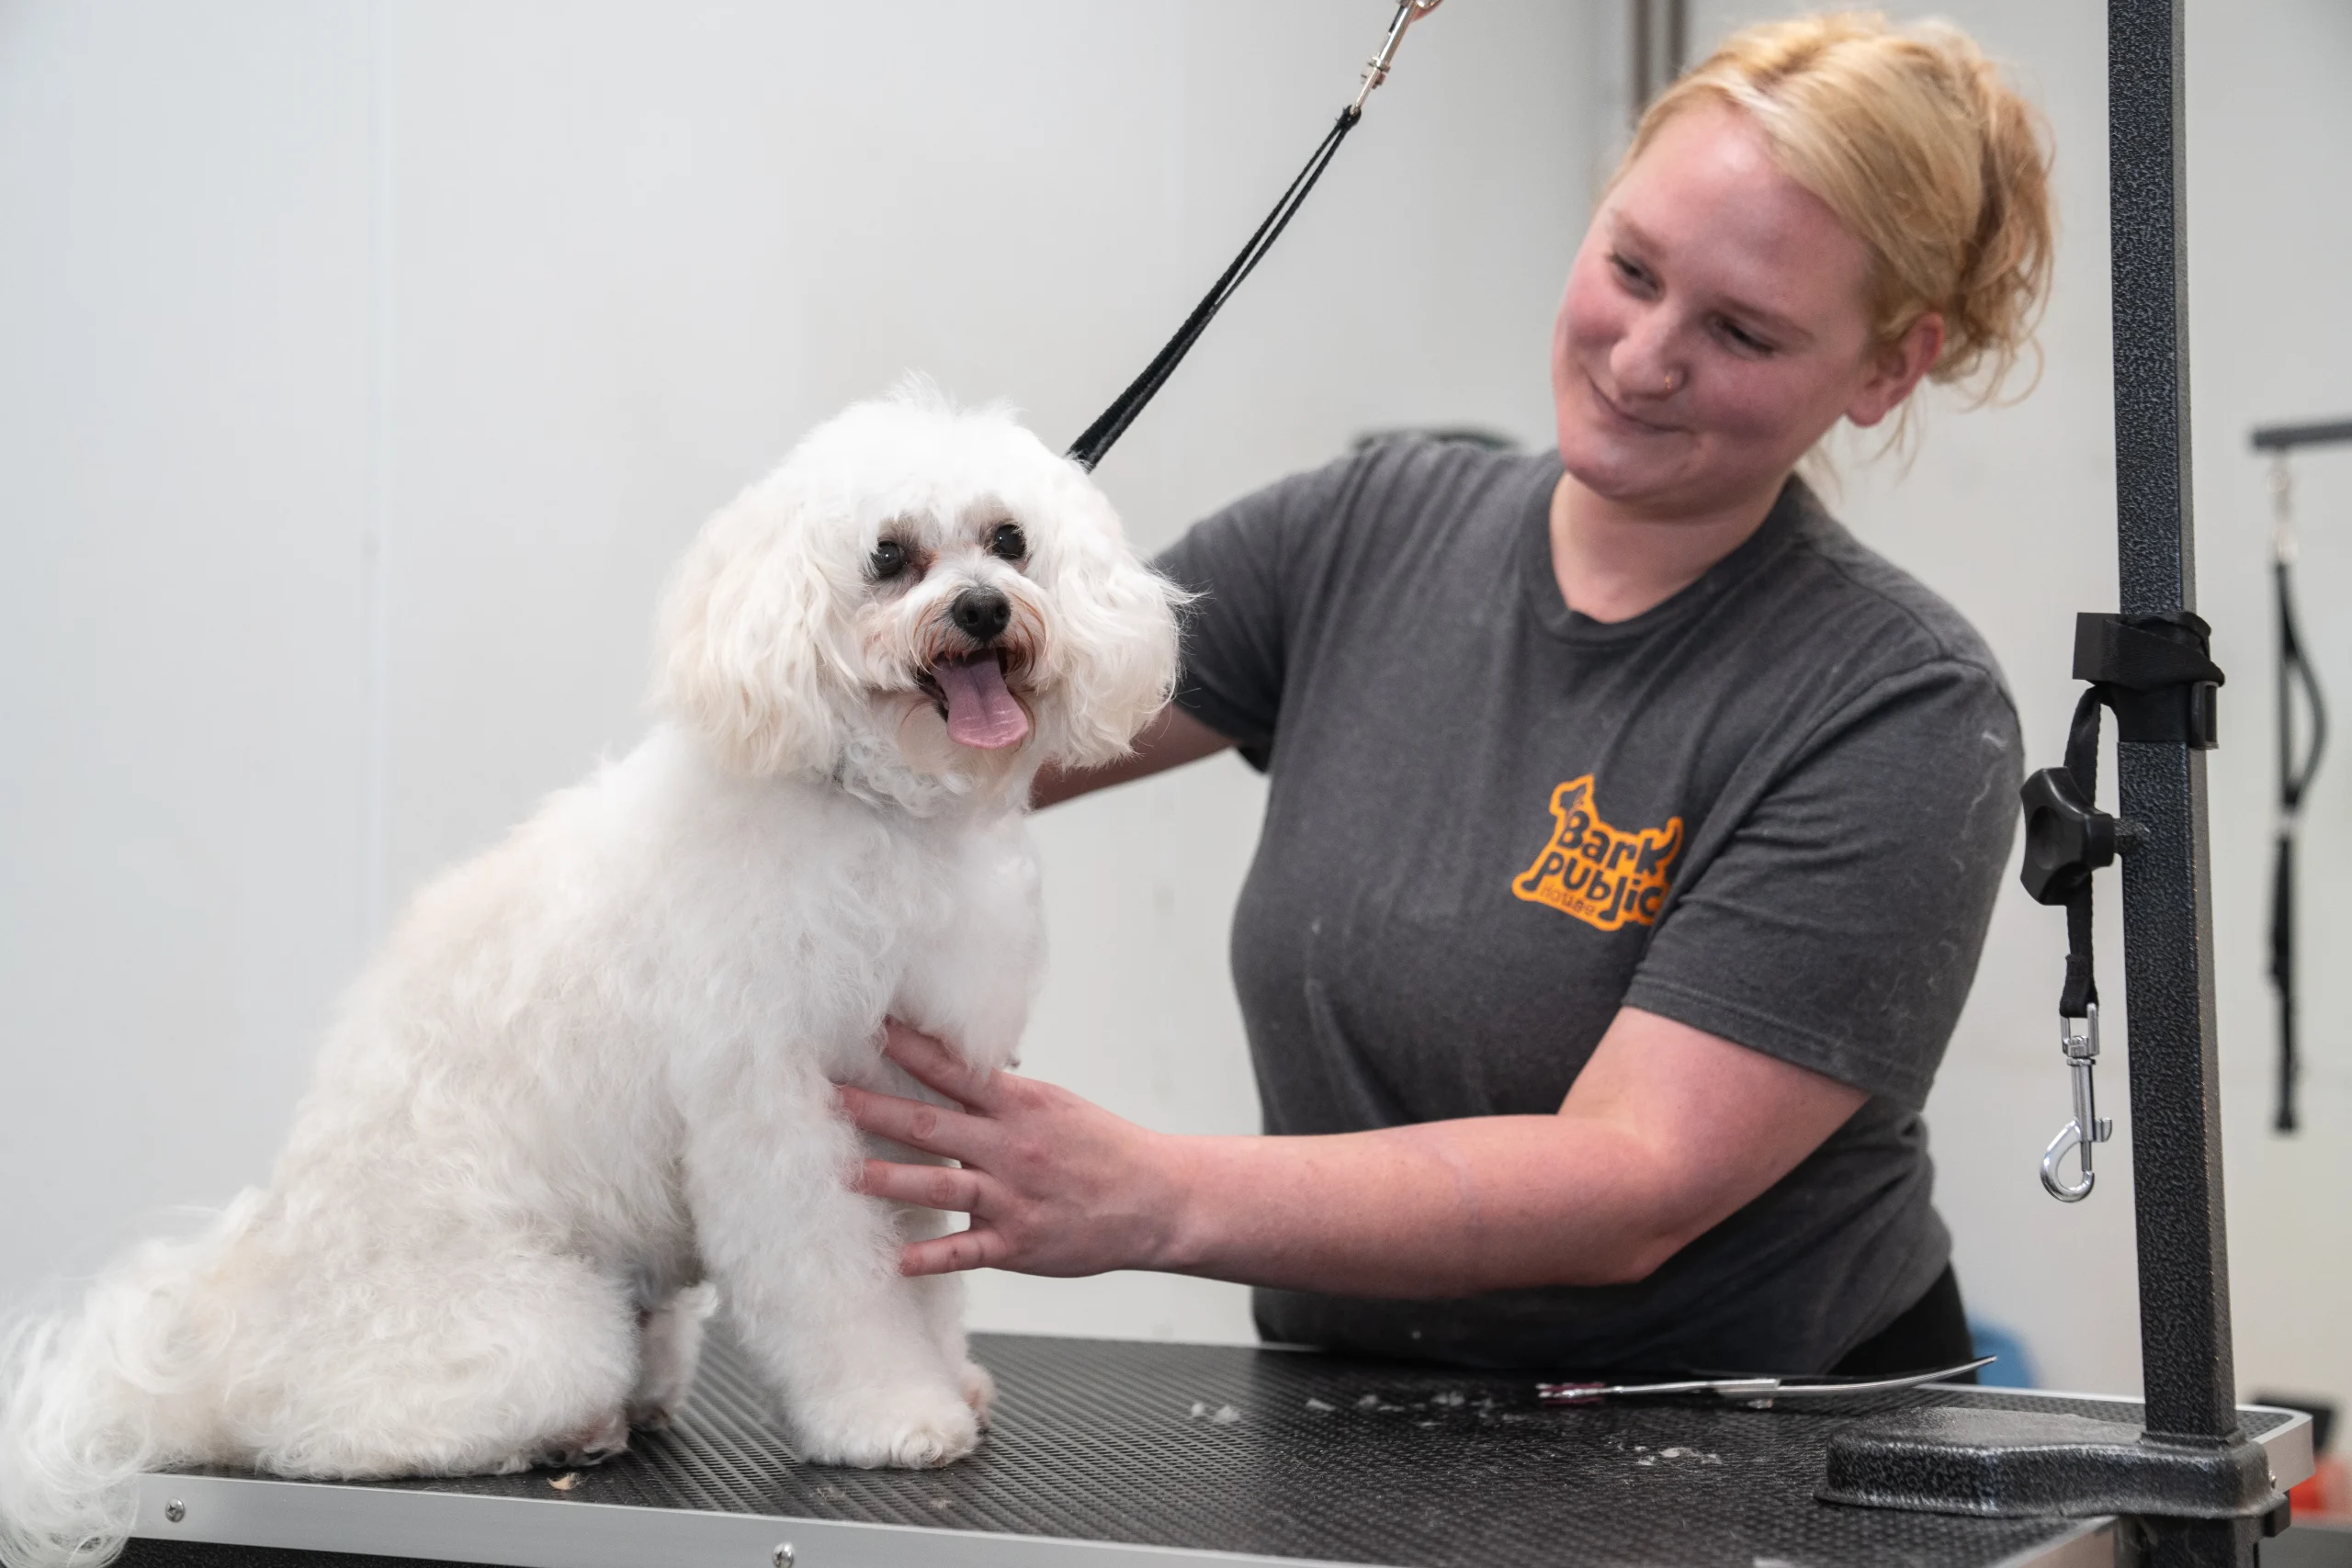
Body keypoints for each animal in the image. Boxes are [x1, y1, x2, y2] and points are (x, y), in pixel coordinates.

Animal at [0, 384, 1183, 1568]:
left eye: (1009, 541)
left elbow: (925, 1282)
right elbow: (839, 1290)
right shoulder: (780, 1122)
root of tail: (215, 1350)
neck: (878, 813)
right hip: (535, 1333)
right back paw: (565, 1429)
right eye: (890, 555)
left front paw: (948, 1381)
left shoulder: (916, 1114)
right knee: (338, 1435)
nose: (982, 609)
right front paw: (891, 1416)